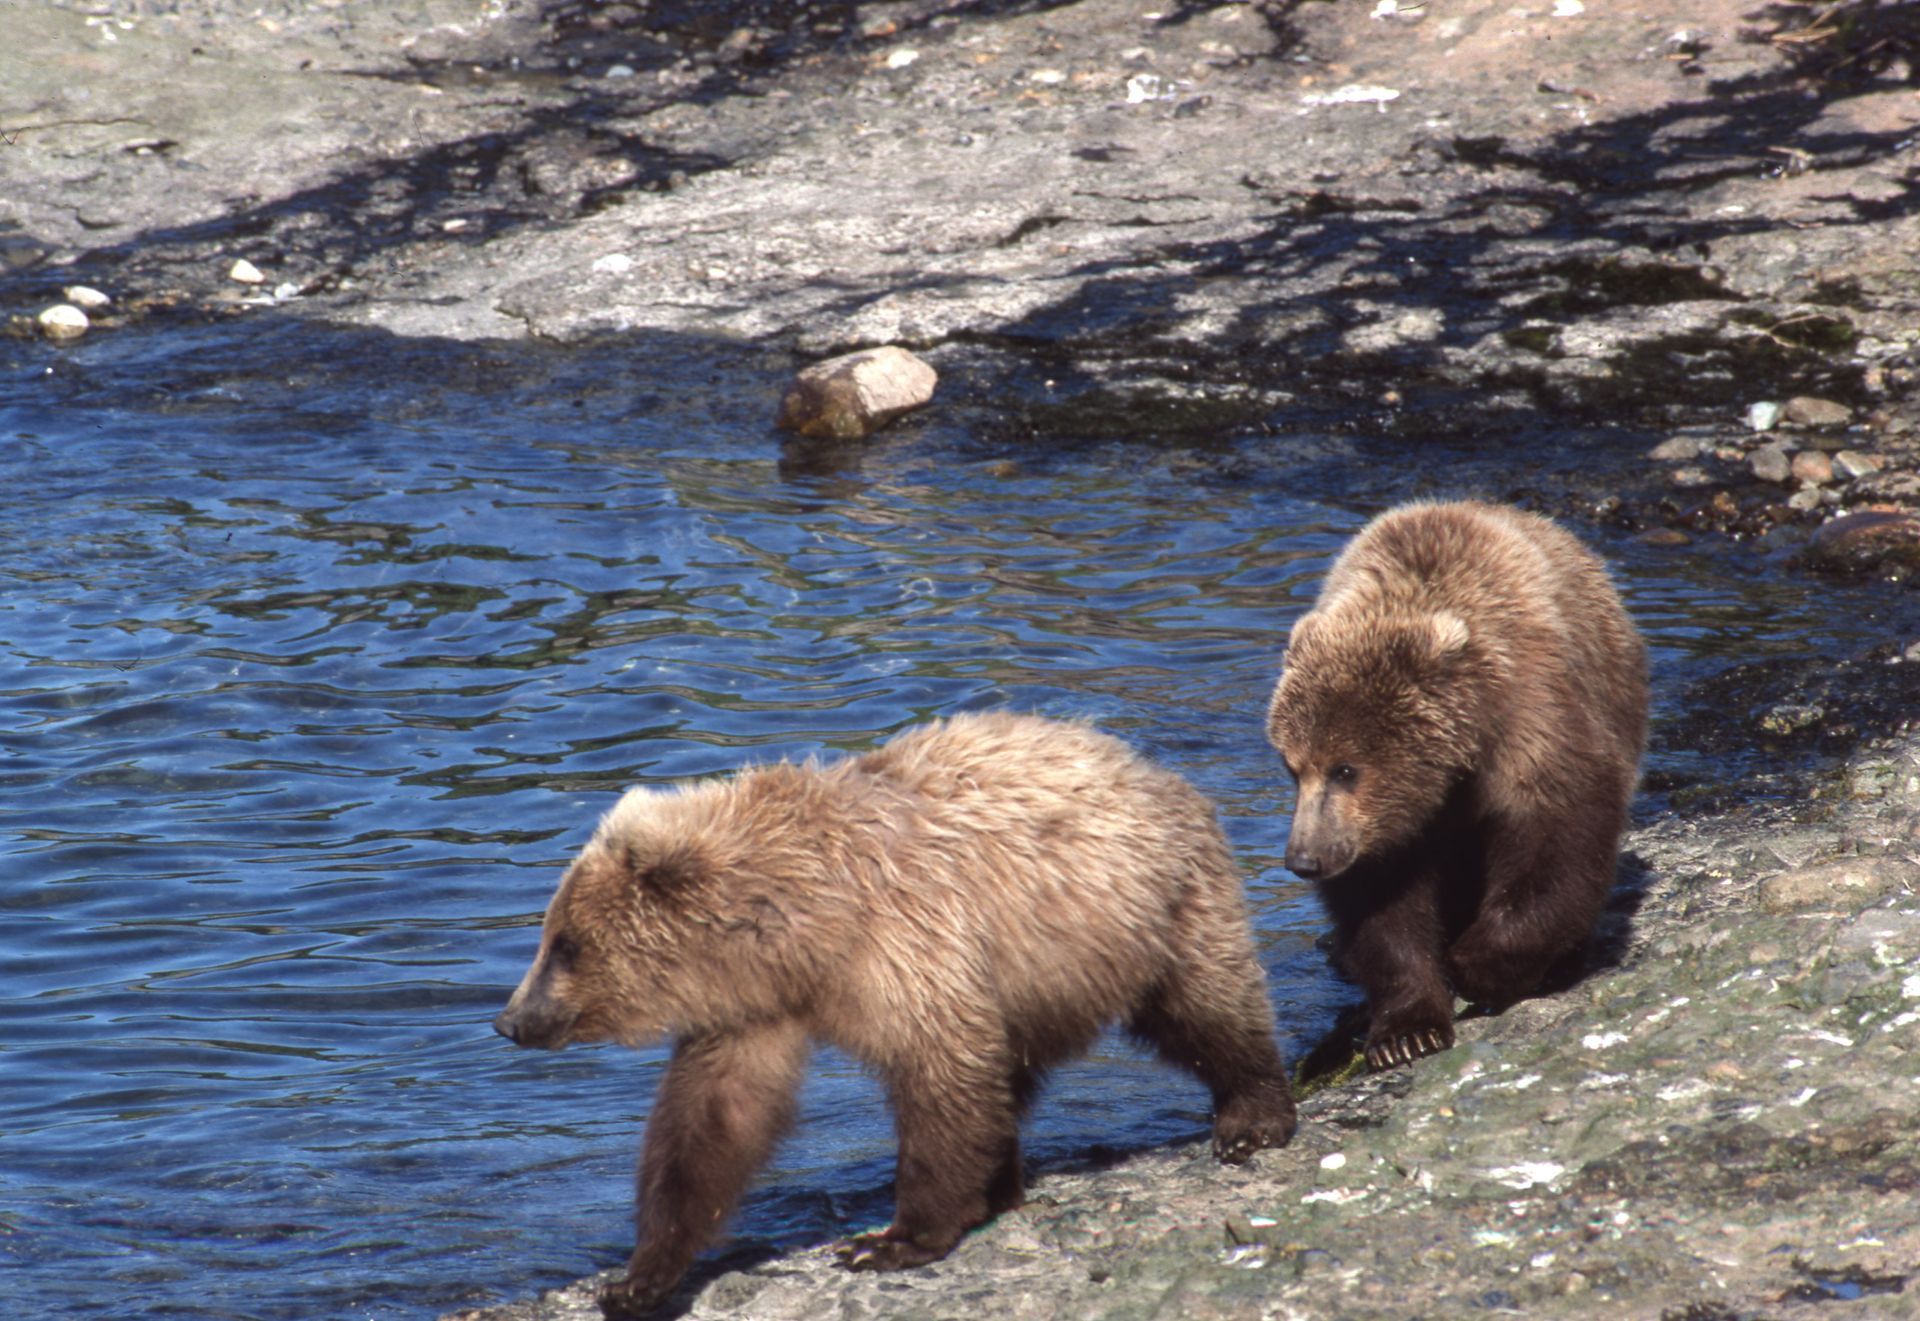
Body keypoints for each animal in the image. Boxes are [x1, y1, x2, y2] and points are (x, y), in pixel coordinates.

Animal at [493, 711, 1297, 1320]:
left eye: (563, 944)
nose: (509, 1020)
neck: (800, 929)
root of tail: (1149, 765)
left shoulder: (911, 941)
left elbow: (941, 1075)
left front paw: (890, 1239)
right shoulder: (753, 1010)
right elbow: (712, 1121)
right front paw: (638, 1277)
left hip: (1151, 909)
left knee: (1206, 1004)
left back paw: (1252, 1115)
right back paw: (1004, 1180)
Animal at [1264, 500, 1648, 1072]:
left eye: (1345, 769)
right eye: (1293, 767)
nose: (1304, 859)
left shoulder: (1534, 726)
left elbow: (1557, 840)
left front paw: (1477, 964)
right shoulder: (1388, 828)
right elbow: (1382, 907)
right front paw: (1406, 1031)